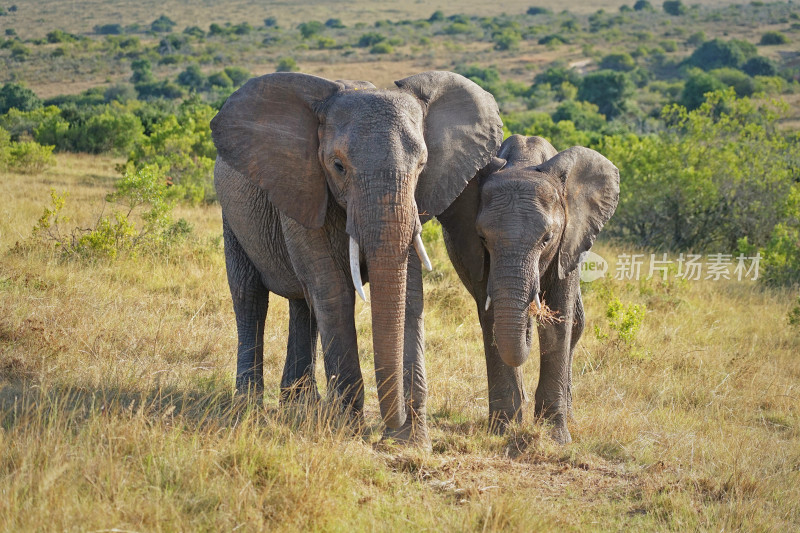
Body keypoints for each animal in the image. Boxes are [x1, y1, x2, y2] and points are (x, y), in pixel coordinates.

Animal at [209, 70, 504, 442]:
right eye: (338, 166)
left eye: (423, 165)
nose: (390, 427)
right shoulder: (305, 185)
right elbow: (333, 291)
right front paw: (348, 431)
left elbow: (408, 295)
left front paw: (411, 442)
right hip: (231, 214)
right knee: (250, 296)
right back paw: (249, 407)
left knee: (303, 304)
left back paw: (300, 405)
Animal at [438, 135, 620, 442]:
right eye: (482, 237)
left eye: (547, 238)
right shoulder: (476, 254)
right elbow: (491, 319)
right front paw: (502, 431)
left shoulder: (569, 241)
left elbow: (559, 322)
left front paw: (555, 437)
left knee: (577, 325)